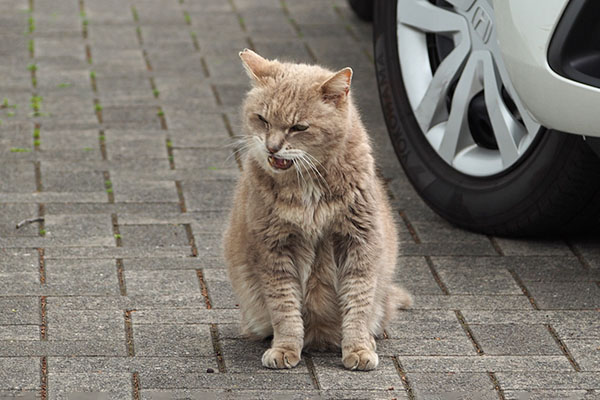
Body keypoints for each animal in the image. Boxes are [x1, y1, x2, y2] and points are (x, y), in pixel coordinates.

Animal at [223, 50, 410, 372]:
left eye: (298, 127)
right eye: (263, 119)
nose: (272, 148)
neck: (307, 184)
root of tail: (319, 339)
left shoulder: (359, 244)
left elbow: (358, 303)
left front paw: (359, 348)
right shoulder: (274, 249)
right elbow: (285, 309)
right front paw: (285, 348)